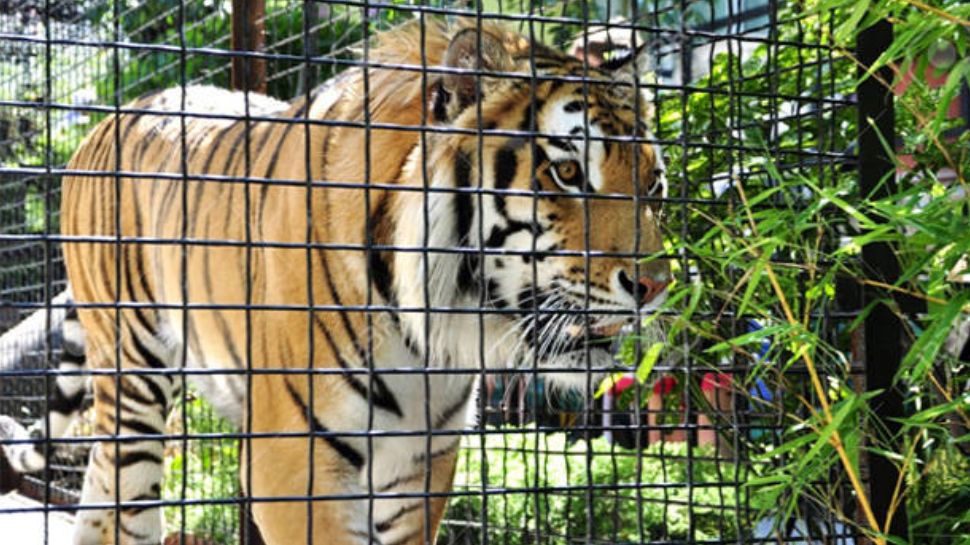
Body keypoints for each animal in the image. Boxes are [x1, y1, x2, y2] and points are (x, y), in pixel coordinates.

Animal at [0, 18, 664, 544]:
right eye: (567, 172)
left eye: (654, 183)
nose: (655, 287)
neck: (429, 333)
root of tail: (106, 121)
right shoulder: (295, 462)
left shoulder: (418, 465)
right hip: (133, 376)